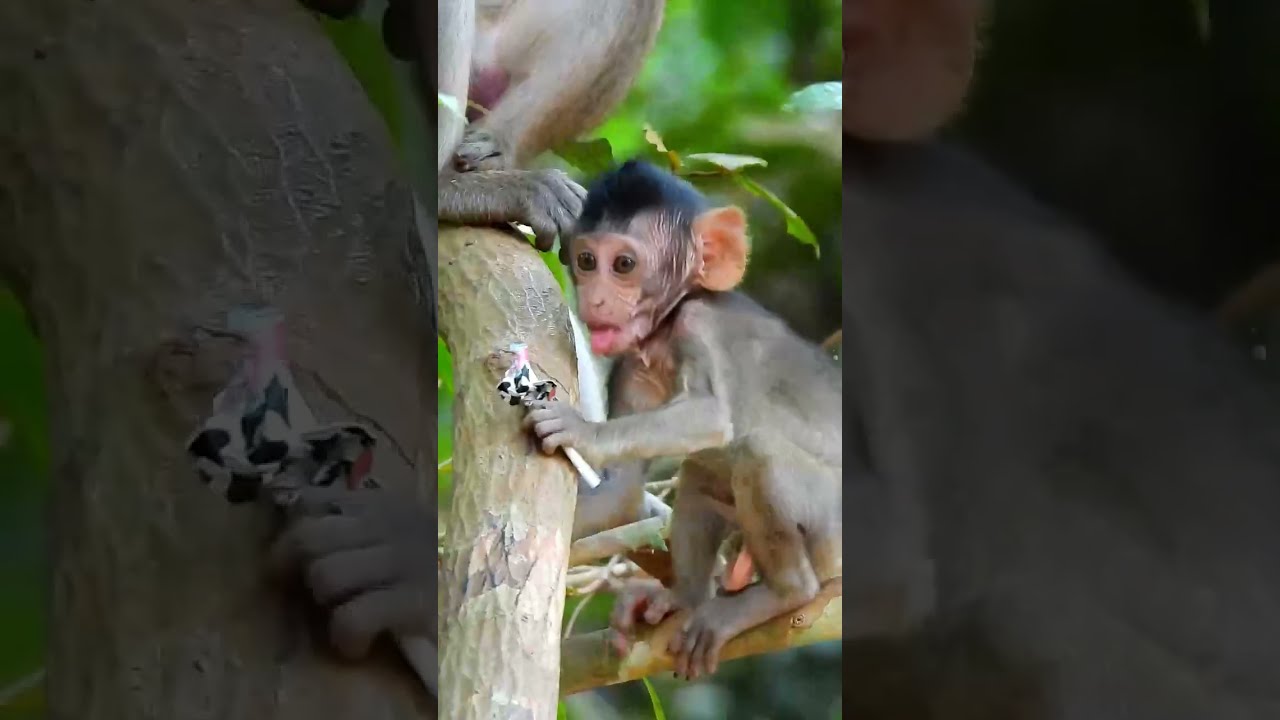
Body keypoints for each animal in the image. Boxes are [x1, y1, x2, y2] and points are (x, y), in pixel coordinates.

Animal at [521, 160, 843, 681]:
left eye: (623, 265)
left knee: (757, 453)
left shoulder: (699, 325)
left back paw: (785, 593)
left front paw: (581, 431)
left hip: (833, 530)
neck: (664, 335)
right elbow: (619, 494)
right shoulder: (630, 366)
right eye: (586, 261)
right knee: (700, 475)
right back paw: (684, 600)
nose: (594, 301)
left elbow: (712, 417)